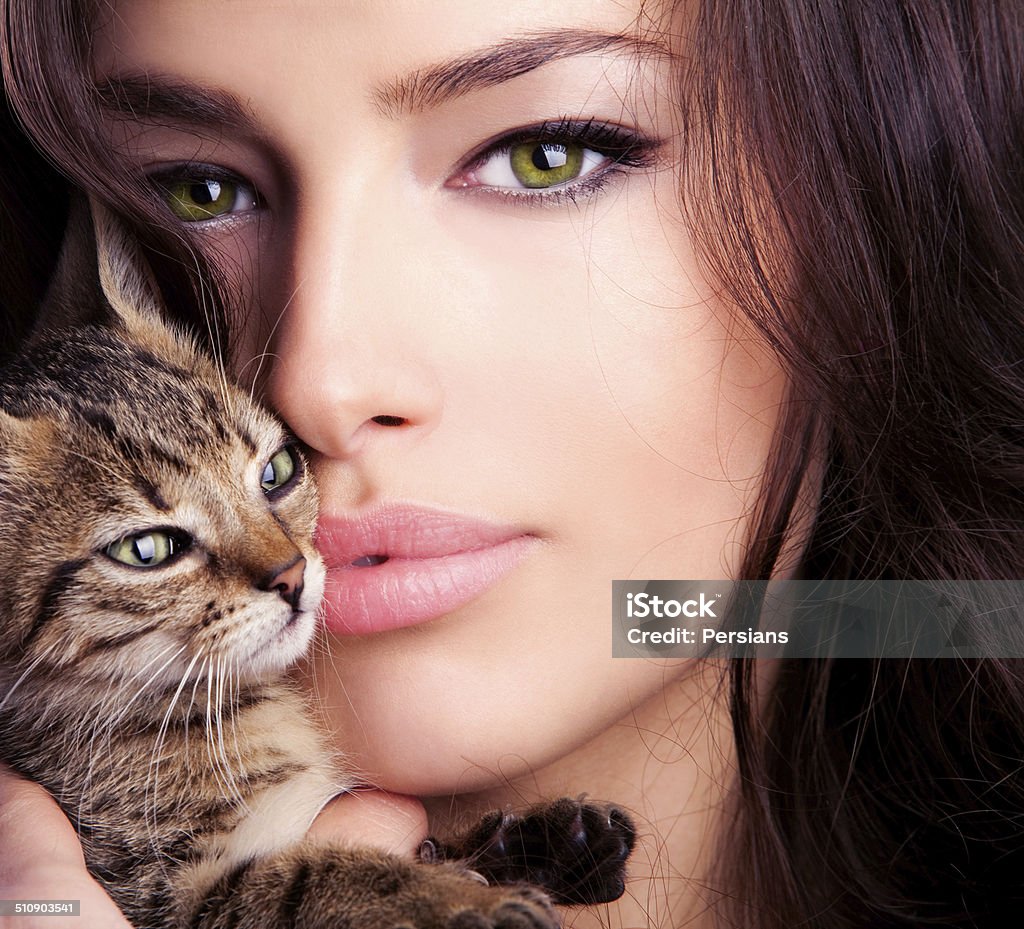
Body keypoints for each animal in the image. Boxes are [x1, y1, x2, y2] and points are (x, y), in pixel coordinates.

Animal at [0, 201, 630, 929]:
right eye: (147, 549)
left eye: (277, 471)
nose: (293, 576)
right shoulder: (161, 895)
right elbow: (315, 876)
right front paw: (456, 899)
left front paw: (542, 844)